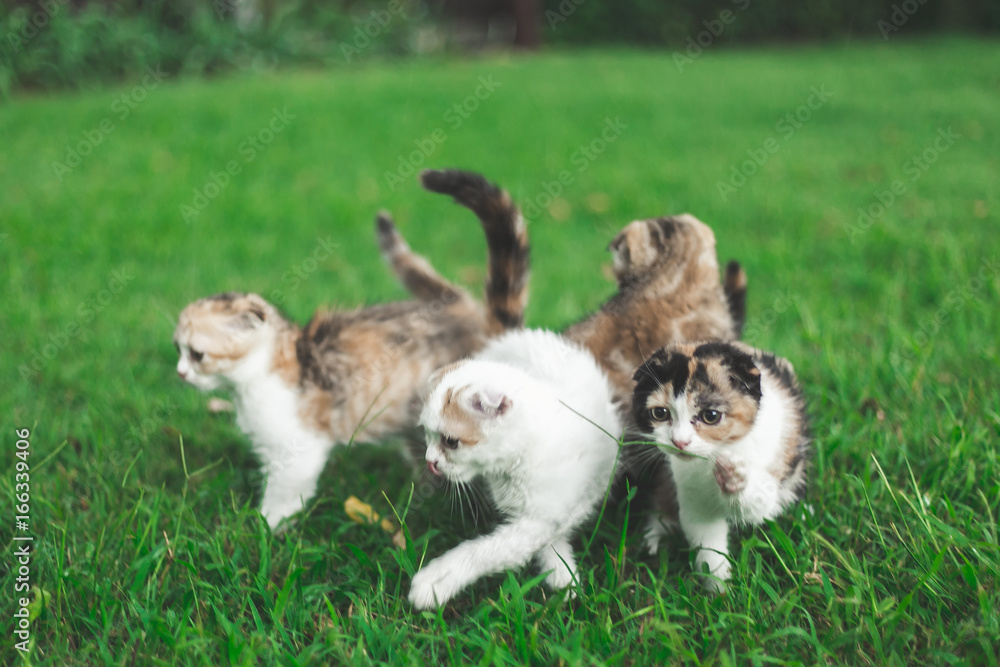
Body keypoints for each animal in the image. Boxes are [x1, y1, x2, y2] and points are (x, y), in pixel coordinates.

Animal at [172, 170, 532, 528]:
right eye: (177, 348)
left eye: (197, 354)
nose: (180, 373)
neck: (256, 379)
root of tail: (469, 313)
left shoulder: (298, 450)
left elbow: (282, 496)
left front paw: (265, 527)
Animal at [406, 330, 616, 612]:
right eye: (427, 434)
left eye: (450, 441)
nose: (430, 461)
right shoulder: (537, 519)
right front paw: (563, 575)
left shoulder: (542, 517)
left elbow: (487, 551)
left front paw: (436, 581)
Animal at [632, 342, 812, 592]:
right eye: (659, 413)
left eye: (710, 416)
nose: (679, 442)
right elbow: (704, 534)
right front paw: (719, 587)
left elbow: (761, 506)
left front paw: (734, 477)